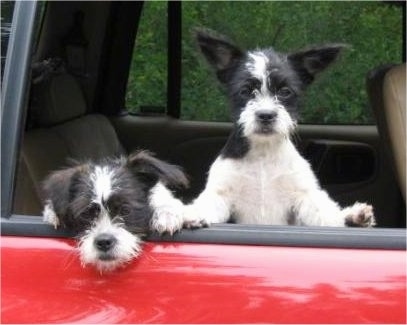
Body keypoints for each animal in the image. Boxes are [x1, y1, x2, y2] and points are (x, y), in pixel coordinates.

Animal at [175, 29, 376, 229]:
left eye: (285, 91)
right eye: (245, 91)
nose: (266, 115)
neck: (263, 155)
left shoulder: (303, 194)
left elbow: (325, 215)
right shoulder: (221, 193)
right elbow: (207, 204)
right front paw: (190, 214)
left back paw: (354, 216)